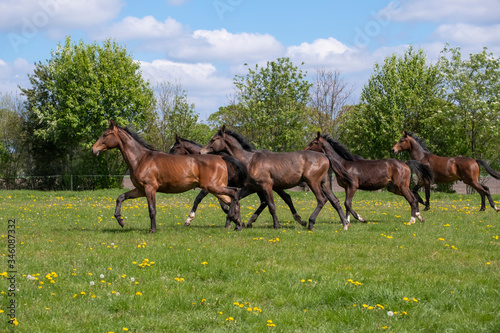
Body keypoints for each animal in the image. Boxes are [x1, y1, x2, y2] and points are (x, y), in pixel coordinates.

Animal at [91, 120, 246, 232]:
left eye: (105, 135)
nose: (93, 149)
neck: (141, 159)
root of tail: (221, 158)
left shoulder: (150, 189)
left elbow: (152, 210)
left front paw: (152, 230)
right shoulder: (140, 190)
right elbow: (121, 197)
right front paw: (121, 220)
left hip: (214, 187)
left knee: (234, 193)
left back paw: (234, 220)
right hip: (215, 189)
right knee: (232, 200)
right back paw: (237, 224)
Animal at [199, 126, 352, 230]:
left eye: (213, 139)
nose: (201, 152)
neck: (250, 161)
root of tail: (325, 155)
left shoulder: (266, 186)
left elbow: (271, 205)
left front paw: (276, 225)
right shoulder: (251, 187)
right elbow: (235, 198)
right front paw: (234, 221)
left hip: (313, 182)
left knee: (321, 200)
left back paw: (311, 223)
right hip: (324, 183)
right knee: (334, 201)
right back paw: (345, 224)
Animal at [304, 132, 434, 223]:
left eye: (313, 142)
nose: (304, 150)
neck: (344, 164)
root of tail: (405, 163)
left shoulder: (353, 186)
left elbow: (347, 203)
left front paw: (362, 219)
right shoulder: (347, 188)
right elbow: (347, 205)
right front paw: (346, 221)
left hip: (401, 186)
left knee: (412, 200)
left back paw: (412, 221)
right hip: (395, 188)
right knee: (414, 198)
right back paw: (420, 218)